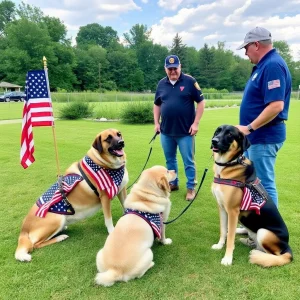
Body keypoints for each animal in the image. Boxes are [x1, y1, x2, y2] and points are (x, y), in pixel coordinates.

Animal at [15, 127, 127, 262]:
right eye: (108, 138)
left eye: (119, 134)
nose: (121, 142)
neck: (104, 163)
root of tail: (24, 228)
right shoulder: (105, 197)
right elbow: (108, 219)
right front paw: (112, 232)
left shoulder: (122, 190)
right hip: (56, 219)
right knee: (35, 244)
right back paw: (60, 237)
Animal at [210, 124, 292, 268]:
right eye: (217, 131)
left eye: (230, 134)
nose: (214, 141)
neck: (228, 165)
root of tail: (287, 248)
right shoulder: (221, 208)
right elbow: (223, 230)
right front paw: (220, 245)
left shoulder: (232, 211)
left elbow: (230, 238)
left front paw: (227, 258)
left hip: (263, 232)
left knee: (272, 254)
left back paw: (257, 253)